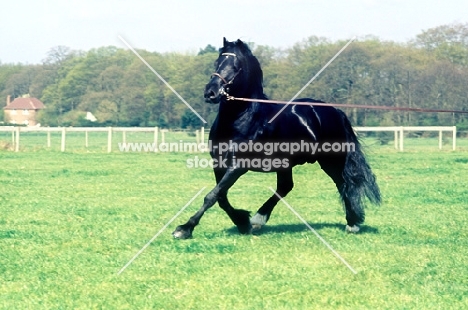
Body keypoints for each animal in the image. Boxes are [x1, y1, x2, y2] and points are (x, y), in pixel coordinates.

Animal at [172, 37, 380, 239]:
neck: (242, 119)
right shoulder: (219, 163)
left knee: (343, 184)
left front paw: (184, 228)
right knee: (285, 187)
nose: (211, 92)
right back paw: (258, 220)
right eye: (217, 62)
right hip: (286, 163)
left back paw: (352, 223)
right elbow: (221, 196)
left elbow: (212, 195)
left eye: (237, 66)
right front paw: (242, 222)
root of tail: (334, 111)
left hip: (331, 160)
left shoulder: (238, 166)